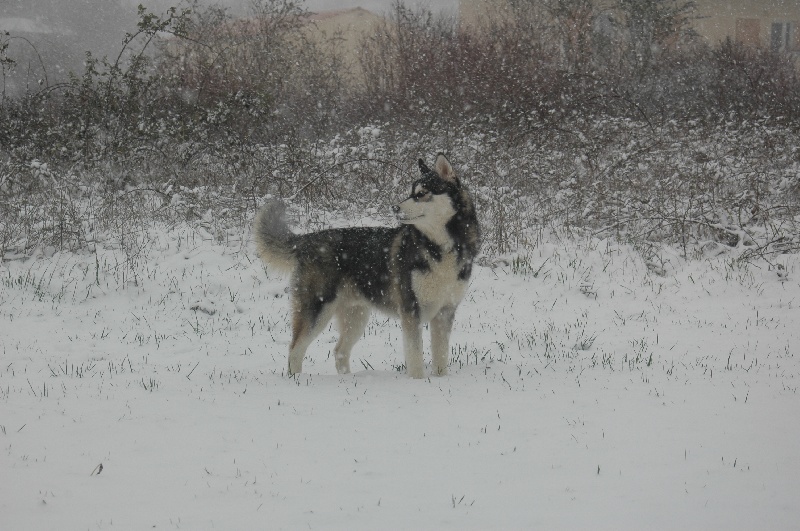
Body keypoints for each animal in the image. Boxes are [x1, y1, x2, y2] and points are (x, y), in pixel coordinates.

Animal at [255, 153, 482, 378]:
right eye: (411, 193)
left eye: (422, 193)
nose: (394, 208)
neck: (439, 248)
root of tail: (308, 239)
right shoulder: (411, 310)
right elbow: (415, 356)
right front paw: (417, 382)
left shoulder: (445, 311)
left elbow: (441, 357)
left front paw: (440, 380)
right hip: (316, 310)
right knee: (295, 349)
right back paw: (297, 380)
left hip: (356, 315)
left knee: (339, 351)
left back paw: (347, 378)